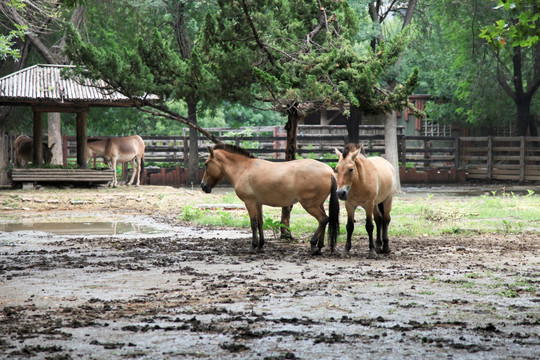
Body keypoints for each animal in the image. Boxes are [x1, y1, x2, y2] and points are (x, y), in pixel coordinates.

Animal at [201, 143, 338, 253]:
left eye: (206, 164)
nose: (203, 186)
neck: (244, 169)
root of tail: (329, 171)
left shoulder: (249, 202)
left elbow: (253, 223)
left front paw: (253, 246)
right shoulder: (258, 203)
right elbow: (260, 223)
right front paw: (260, 246)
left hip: (310, 205)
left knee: (323, 219)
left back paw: (313, 245)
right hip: (319, 204)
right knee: (325, 220)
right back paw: (319, 247)